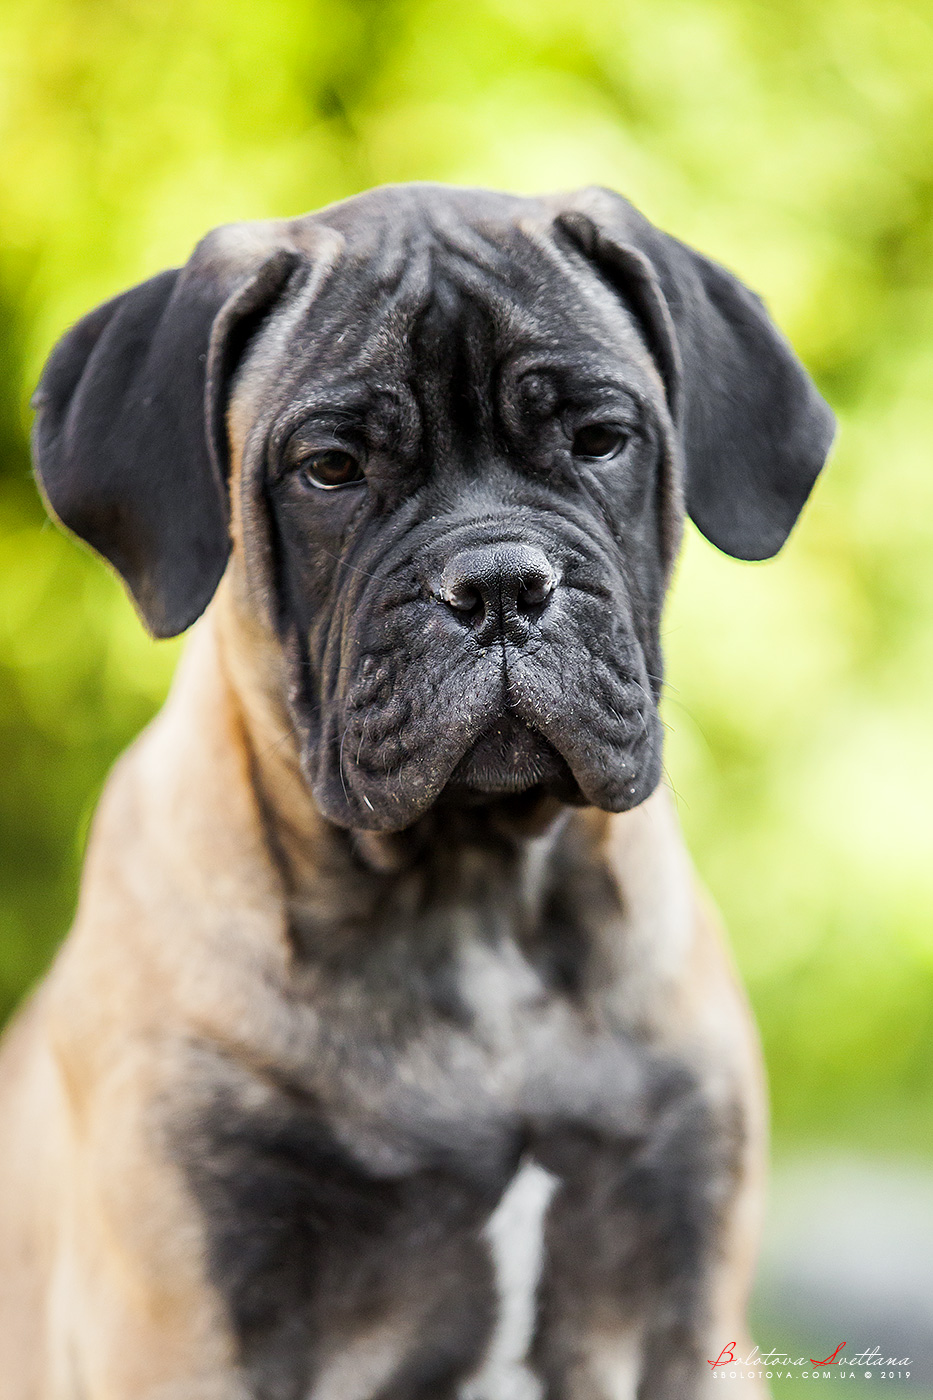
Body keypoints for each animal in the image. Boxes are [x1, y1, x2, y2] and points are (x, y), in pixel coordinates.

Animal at [0, 189, 829, 1400]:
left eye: (601, 439)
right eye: (330, 468)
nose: (500, 583)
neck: (470, 896)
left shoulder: (690, 1324)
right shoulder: (190, 1328)